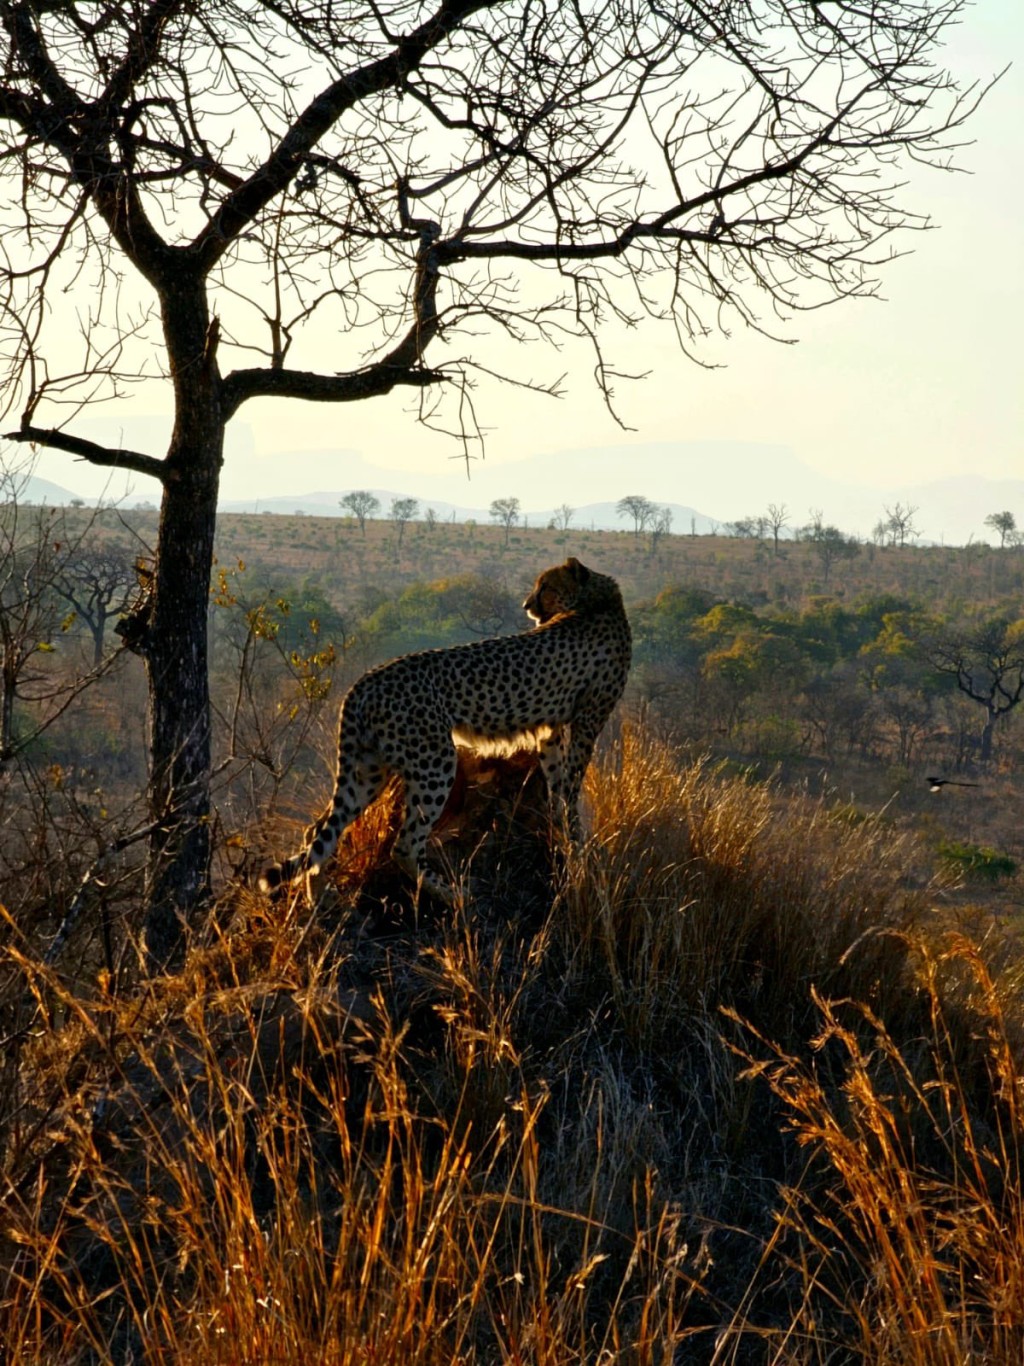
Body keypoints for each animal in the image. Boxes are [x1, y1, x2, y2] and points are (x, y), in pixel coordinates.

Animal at [262, 554, 633, 896]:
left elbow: (559, 780)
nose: (527, 606)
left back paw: (318, 900)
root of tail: (366, 678)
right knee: (405, 845)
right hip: (435, 760)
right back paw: (452, 893)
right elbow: (572, 781)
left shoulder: (552, 727)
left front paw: (564, 827)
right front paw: (575, 835)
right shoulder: (588, 719)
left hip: (368, 769)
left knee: (319, 831)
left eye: (546, 586)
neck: (596, 600)